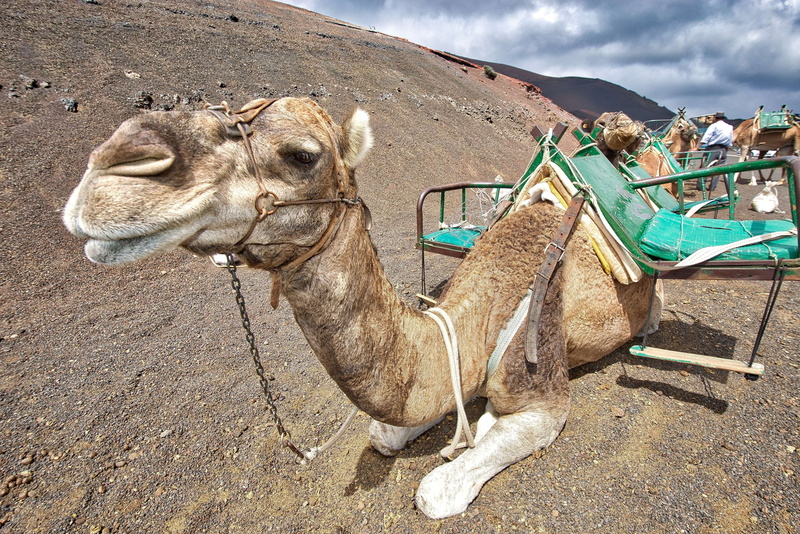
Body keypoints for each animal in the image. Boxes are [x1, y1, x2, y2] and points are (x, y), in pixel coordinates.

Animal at [63, 97, 660, 519]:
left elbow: (435, 491)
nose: (114, 165)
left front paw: (478, 432)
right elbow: (385, 431)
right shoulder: (450, 371)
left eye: (302, 154)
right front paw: (474, 420)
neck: (485, 308)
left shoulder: (546, 395)